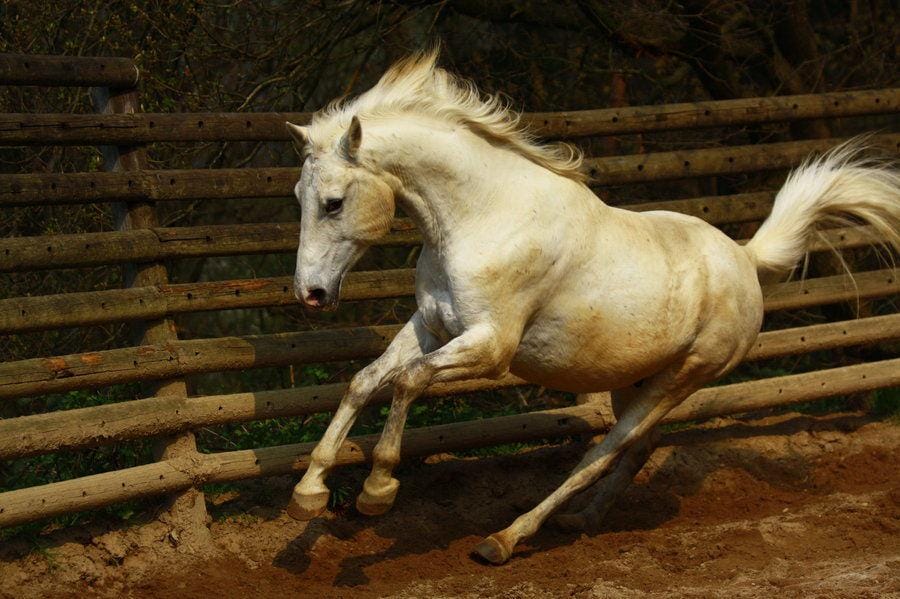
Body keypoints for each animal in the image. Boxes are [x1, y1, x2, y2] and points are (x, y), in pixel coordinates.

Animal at [282, 49, 900, 564]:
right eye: (298, 198)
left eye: (333, 203)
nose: (311, 294)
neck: (485, 217)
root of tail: (746, 261)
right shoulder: (431, 325)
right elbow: (365, 380)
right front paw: (308, 494)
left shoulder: (491, 347)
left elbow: (409, 381)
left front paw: (377, 492)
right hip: (636, 377)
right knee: (639, 450)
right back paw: (580, 522)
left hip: (682, 378)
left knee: (604, 452)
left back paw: (506, 539)